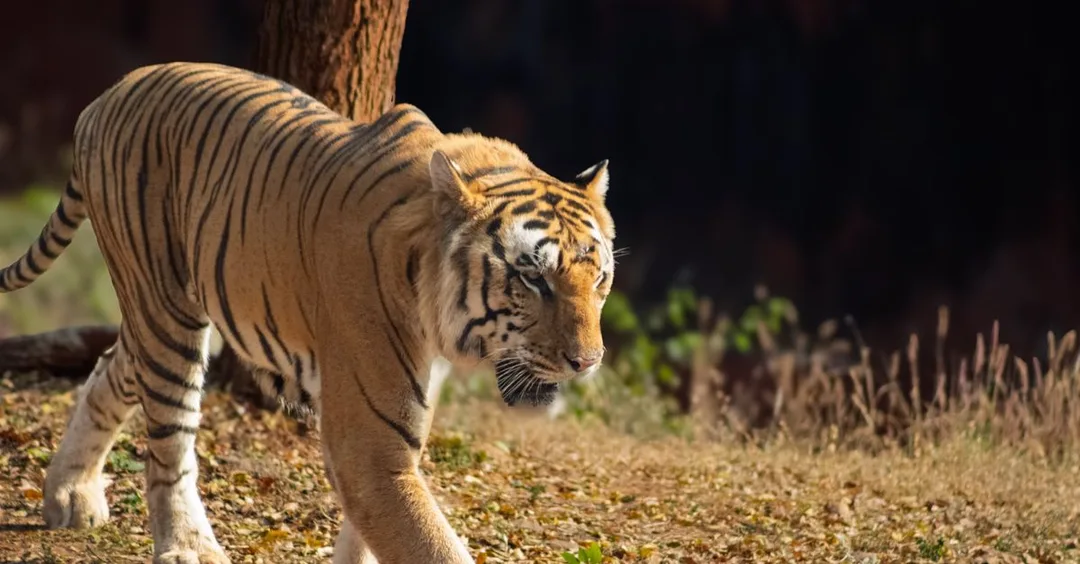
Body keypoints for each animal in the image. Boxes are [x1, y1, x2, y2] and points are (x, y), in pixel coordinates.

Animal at [0, 62, 616, 564]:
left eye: (599, 279)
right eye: (533, 277)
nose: (588, 362)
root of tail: (112, 91)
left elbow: (367, 536)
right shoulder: (371, 441)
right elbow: (428, 543)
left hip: (160, 310)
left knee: (109, 368)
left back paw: (70, 494)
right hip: (166, 308)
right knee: (170, 442)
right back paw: (187, 545)